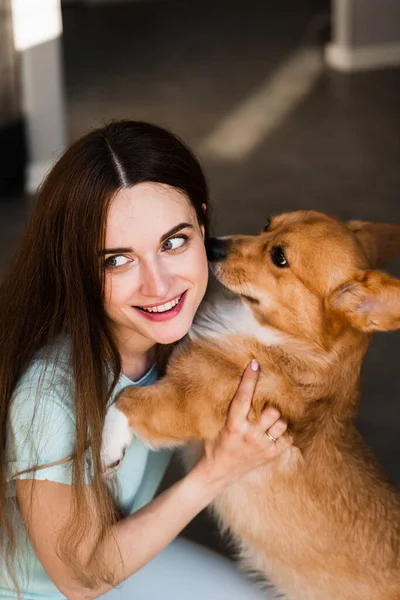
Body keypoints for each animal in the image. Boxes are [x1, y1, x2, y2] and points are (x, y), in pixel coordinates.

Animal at [101, 211, 400, 600]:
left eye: (280, 258)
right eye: (267, 224)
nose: (211, 244)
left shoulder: (184, 403)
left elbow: (124, 401)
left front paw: (107, 449)